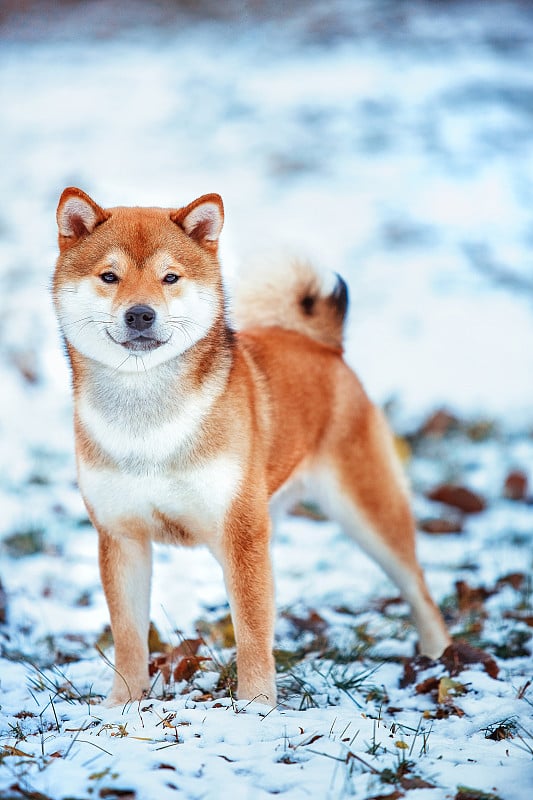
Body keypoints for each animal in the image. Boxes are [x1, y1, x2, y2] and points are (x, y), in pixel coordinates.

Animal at [53, 188, 448, 708]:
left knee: (418, 588)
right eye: (109, 276)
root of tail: (322, 345)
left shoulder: (240, 533)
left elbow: (254, 632)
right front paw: (123, 707)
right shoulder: (121, 536)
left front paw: (256, 707)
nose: (140, 313)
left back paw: (442, 657)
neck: (150, 423)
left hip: (365, 512)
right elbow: (129, 637)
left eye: (170, 277)